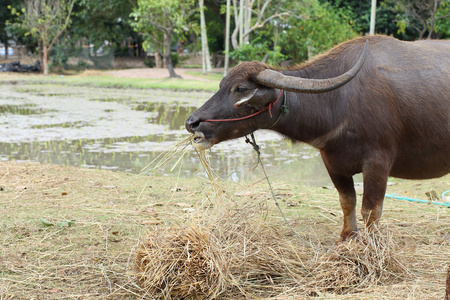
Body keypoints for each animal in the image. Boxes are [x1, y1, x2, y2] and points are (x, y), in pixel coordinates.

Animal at [185, 35, 448, 240]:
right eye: (221, 84)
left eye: (240, 89)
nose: (192, 123)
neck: (339, 101)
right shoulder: (332, 163)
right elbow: (347, 202)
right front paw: (347, 236)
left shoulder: (378, 162)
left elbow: (371, 210)